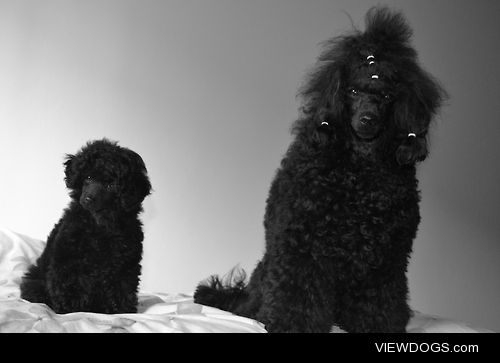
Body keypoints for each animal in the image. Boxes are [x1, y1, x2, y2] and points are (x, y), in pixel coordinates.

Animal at [21, 139, 150, 316]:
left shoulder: (126, 264)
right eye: (88, 177)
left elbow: (122, 288)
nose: (88, 199)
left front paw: (122, 310)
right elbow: (70, 284)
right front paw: (70, 309)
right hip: (35, 282)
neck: (99, 224)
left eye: (110, 184)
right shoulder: (68, 259)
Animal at [194, 7, 446, 334]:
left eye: (387, 96)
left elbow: (380, 298)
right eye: (352, 90)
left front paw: (375, 325)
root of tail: (247, 293)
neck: (360, 169)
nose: (367, 119)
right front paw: (292, 323)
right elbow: (300, 288)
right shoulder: (304, 241)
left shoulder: (387, 255)